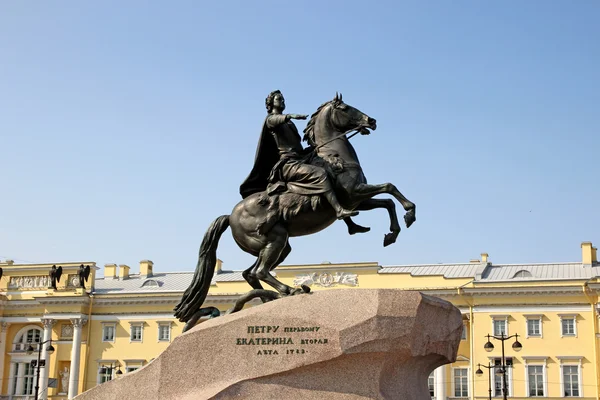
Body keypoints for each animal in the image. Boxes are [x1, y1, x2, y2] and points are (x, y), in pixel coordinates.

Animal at [176, 93, 414, 328]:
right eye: (345, 108)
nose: (371, 121)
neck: (333, 155)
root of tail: (230, 215)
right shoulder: (355, 193)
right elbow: (390, 187)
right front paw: (409, 213)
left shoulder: (358, 200)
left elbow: (388, 201)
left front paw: (392, 233)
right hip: (275, 239)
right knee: (260, 271)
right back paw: (290, 290)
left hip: (278, 246)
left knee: (250, 273)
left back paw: (268, 299)